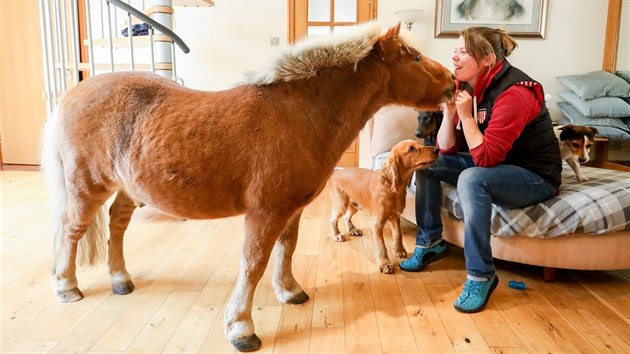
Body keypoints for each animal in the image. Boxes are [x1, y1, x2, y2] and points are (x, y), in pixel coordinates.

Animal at [43, 23, 454, 352]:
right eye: (416, 57)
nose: (452, 82)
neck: (298, 114)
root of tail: (70, 95)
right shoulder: (265, 211)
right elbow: (254, 263)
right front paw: (241, 328)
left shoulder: (291, 209)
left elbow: (286, 250)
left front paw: (290, 291)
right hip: (87, 187)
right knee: (70, 231)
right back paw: (66, 286)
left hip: (126, 189)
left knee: (116, 225)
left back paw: (120, 279)